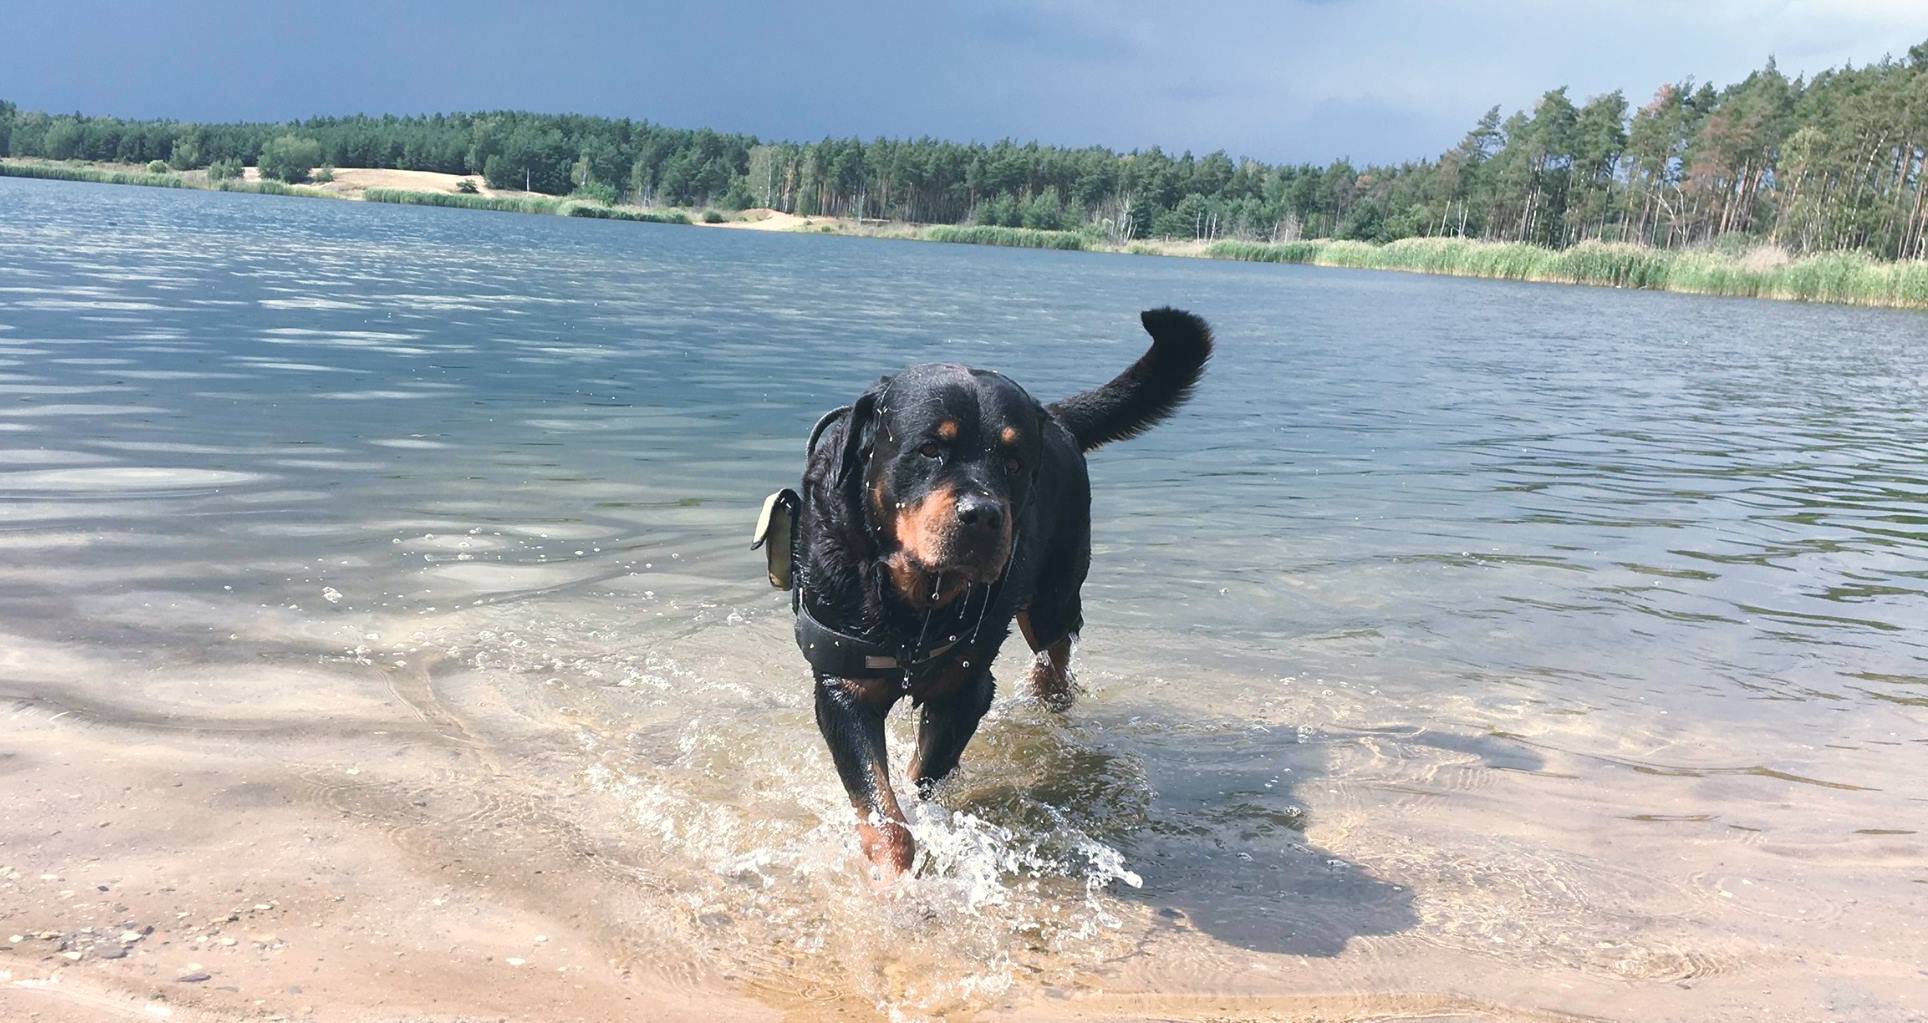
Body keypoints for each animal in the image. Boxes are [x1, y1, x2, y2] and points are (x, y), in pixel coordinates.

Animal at [763, 304, 1203, 882]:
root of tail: (1056, 417)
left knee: (1055, 657)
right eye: (930, 449)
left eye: (1013, 464)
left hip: (1053, 595)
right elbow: (881, 809)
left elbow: (923, 774)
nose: (984, 514)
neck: (916, 602)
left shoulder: (966, 687)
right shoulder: (842, 687)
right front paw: (893, 874)